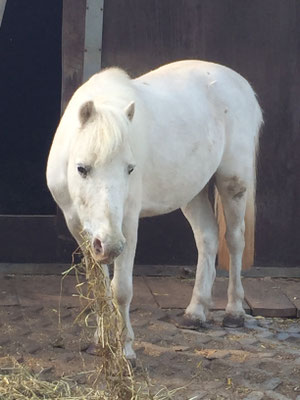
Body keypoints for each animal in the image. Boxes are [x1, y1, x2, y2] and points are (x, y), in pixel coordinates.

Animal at [46, 60, 262, 362]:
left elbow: (121, 290)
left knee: (234, 240)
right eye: (82, 168)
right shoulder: (79, 227)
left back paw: (234, 312)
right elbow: (100, 287)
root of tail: (240, 83)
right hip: (191, 191)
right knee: (207, 238)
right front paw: (101, 343)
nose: (111, 245)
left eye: (130, 169)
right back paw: (195, 313)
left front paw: (125, 350)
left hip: (233, 181)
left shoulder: (127, 224)